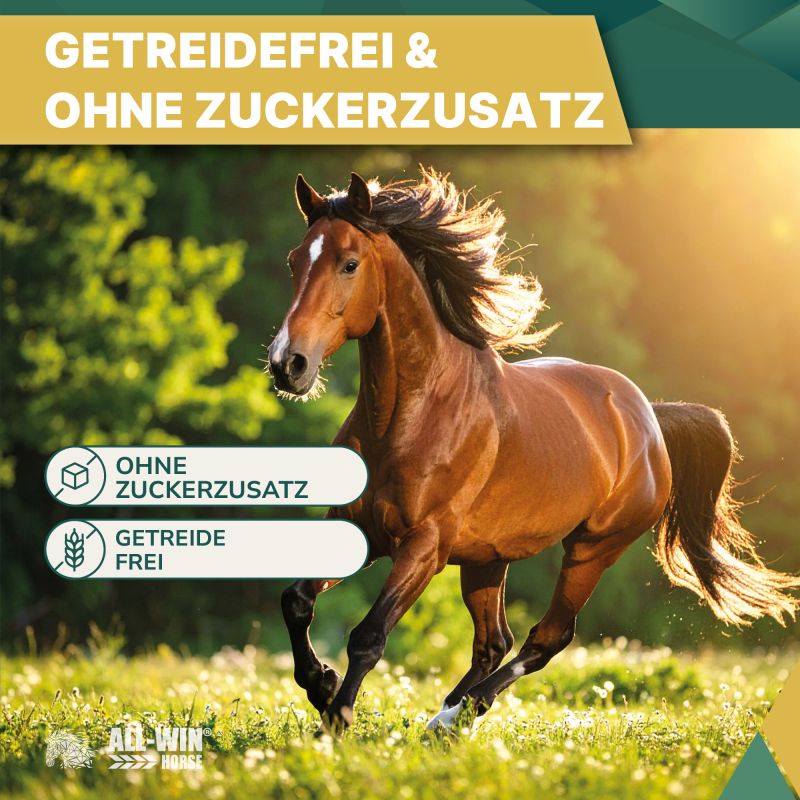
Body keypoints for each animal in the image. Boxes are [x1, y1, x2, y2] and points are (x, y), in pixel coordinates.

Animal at [269, 168, 799, 732]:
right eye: (295, 260)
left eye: (349, 263)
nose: (288, 364)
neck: (413, 415)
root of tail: (650, 419)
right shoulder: (358, 527)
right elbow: (296, 600)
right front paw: (321, 684)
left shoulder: (424, 546)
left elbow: (369, 635)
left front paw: (335, 718)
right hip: (486, 558)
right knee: (493, 641)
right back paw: (448, 718)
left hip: (591, 549)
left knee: (546, 638)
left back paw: (455, 716)